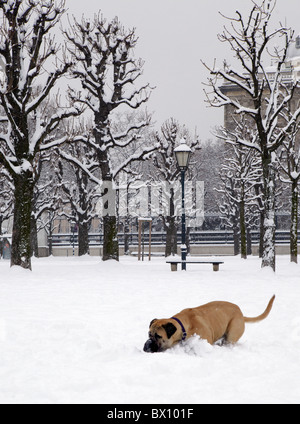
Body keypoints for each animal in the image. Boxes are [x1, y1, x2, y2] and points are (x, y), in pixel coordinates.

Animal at [144, 294, 276, 352]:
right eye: (149, 334)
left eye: (158, 336)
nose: (147, 345)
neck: (184, 327)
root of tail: (241, 313)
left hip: (232, 334)